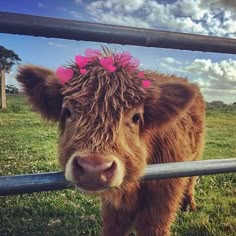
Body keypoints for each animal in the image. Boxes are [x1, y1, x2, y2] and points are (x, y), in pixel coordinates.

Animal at [16, 48, 205, 236]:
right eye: (67, 111)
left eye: (136, 117)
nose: (93, 169)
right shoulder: (114, 211)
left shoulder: (160, 206)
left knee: (191, 179)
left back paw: (189, 204)